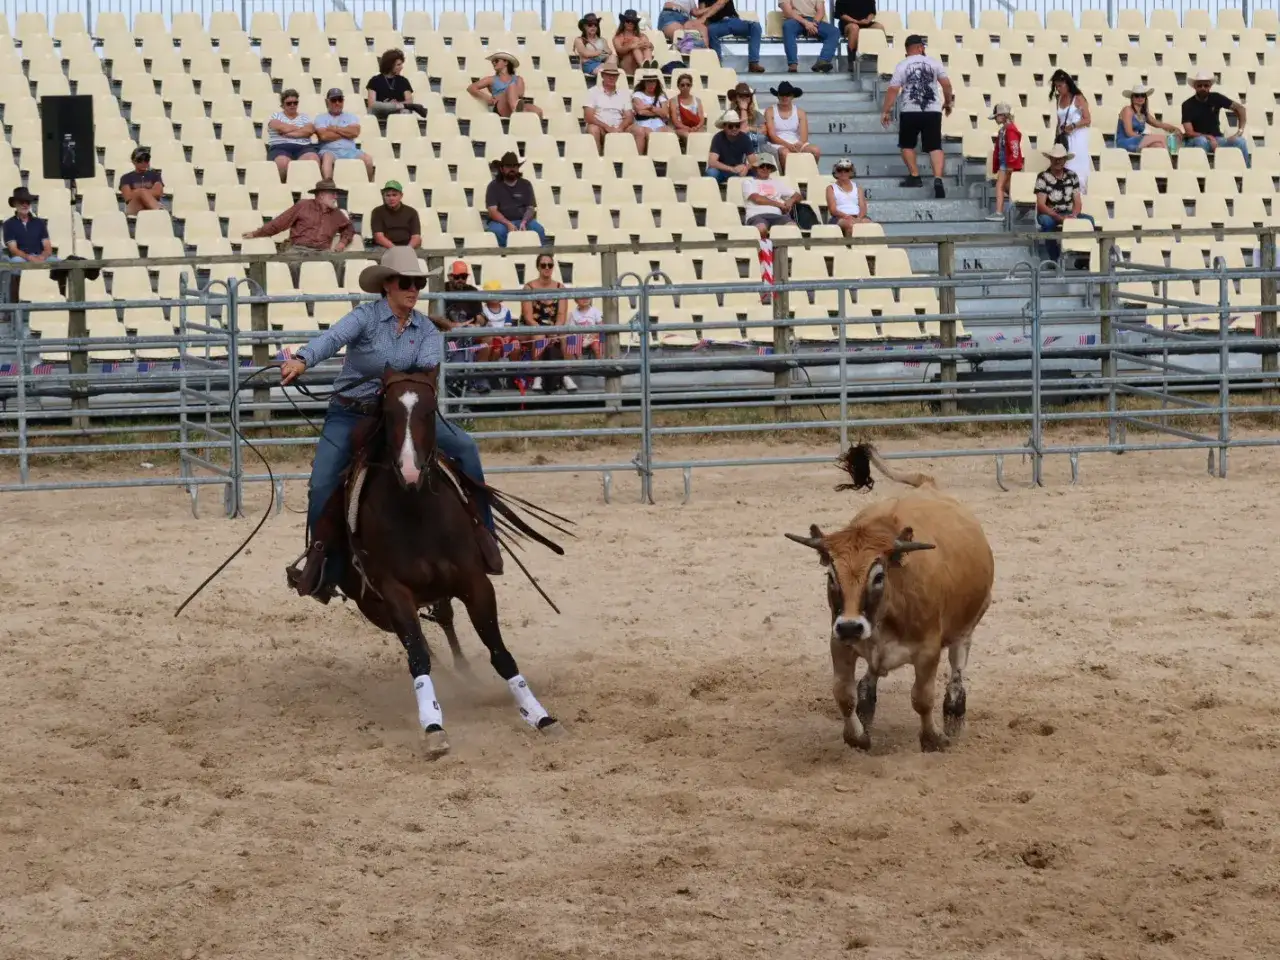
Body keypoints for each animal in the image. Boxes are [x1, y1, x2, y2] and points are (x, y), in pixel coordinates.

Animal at [333, 366, 567, 759]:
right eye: (388, 413)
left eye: (429, 412)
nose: (410, 473)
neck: (417, 510)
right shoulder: (394, 593)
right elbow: (418, 658)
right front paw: (433, 725)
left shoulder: (476, 583)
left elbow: (501, 654)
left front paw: (539, 716)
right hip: (375, 607)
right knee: (426, 641)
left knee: (445, 619)